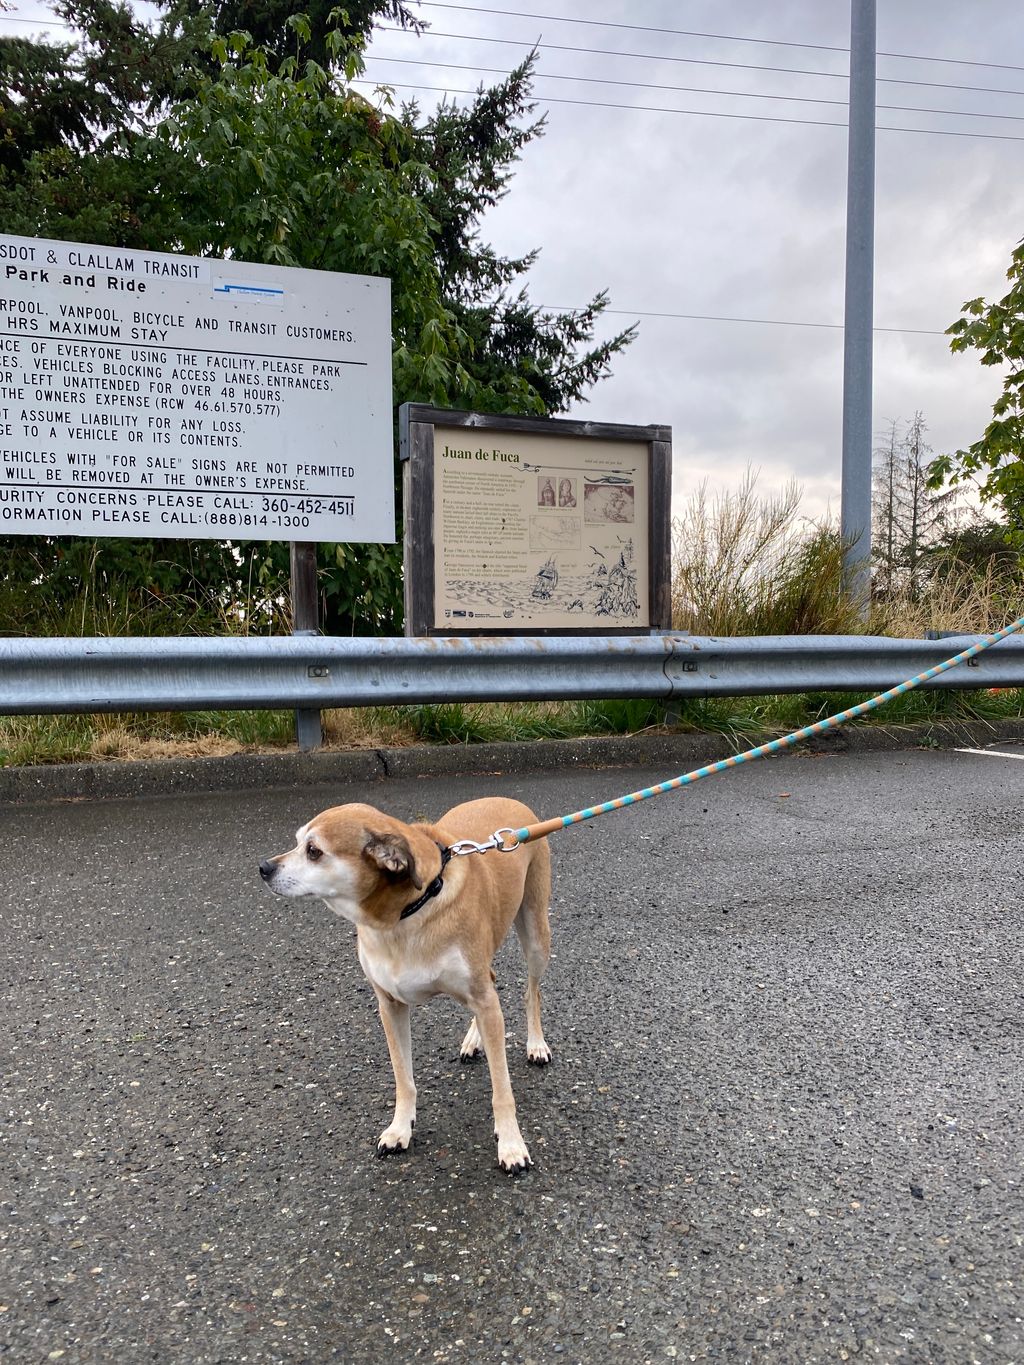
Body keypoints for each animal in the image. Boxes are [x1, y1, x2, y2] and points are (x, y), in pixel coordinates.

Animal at [258, 797, 554, 1173]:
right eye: (297, 842)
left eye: (314, 851)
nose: (264, 867)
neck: (406, 914)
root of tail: (511, 800)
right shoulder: (390, 1005)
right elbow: (404, 1079)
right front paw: (400, 1128)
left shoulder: (483, 999)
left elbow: (502, 1089)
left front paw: (512, 1145)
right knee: (492, 983)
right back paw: (475, 1040)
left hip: (536, 936)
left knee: (532, 991)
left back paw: (536, 1044)